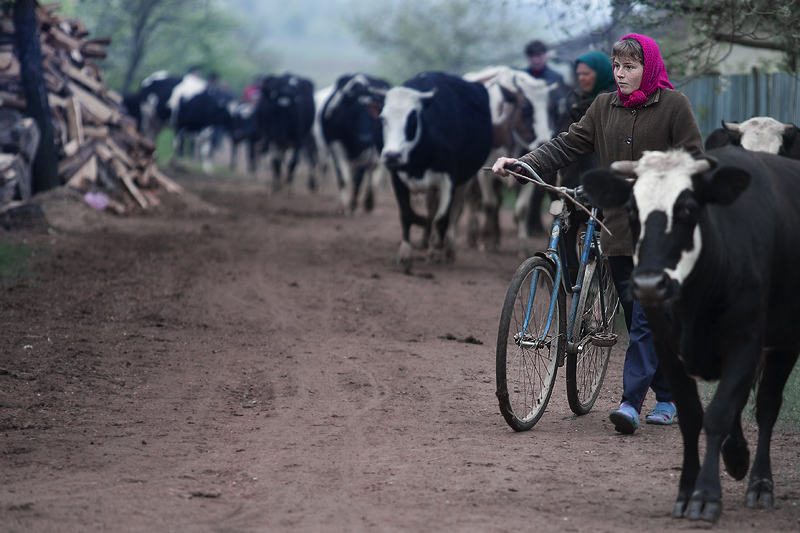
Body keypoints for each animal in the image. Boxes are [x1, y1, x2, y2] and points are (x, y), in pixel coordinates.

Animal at [322, 72, 390, 214]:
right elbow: (343, 177)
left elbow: (359, 178)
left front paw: (353, 205)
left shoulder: (369, 150)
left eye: (374, 117)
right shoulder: (336, 144)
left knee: (370, 171)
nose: (365, 138)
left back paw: (368, 202)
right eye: (354, 113)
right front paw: (345, 206)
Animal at [376, 71, 494, 270]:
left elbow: (442, 218)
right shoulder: (397, 178)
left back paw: (447, 248)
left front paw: (437, 248)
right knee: (432, 209)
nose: (392, 155)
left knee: (454, 212)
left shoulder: (449, 180)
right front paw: (405, 253)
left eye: (412, 118)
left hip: (464, 180)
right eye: (383, 118)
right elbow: (407, 214)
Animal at [580, 144, 800, 520]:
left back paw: (759, 484)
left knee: (767, 407)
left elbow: (719, 413)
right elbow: (692, 416)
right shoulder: (668, 348)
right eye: (632, 210)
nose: (649, 284)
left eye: (688, 208)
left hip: (785, 341)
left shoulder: (746, 342)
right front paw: (686, 490)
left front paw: (707, 495)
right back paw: (736, 456)